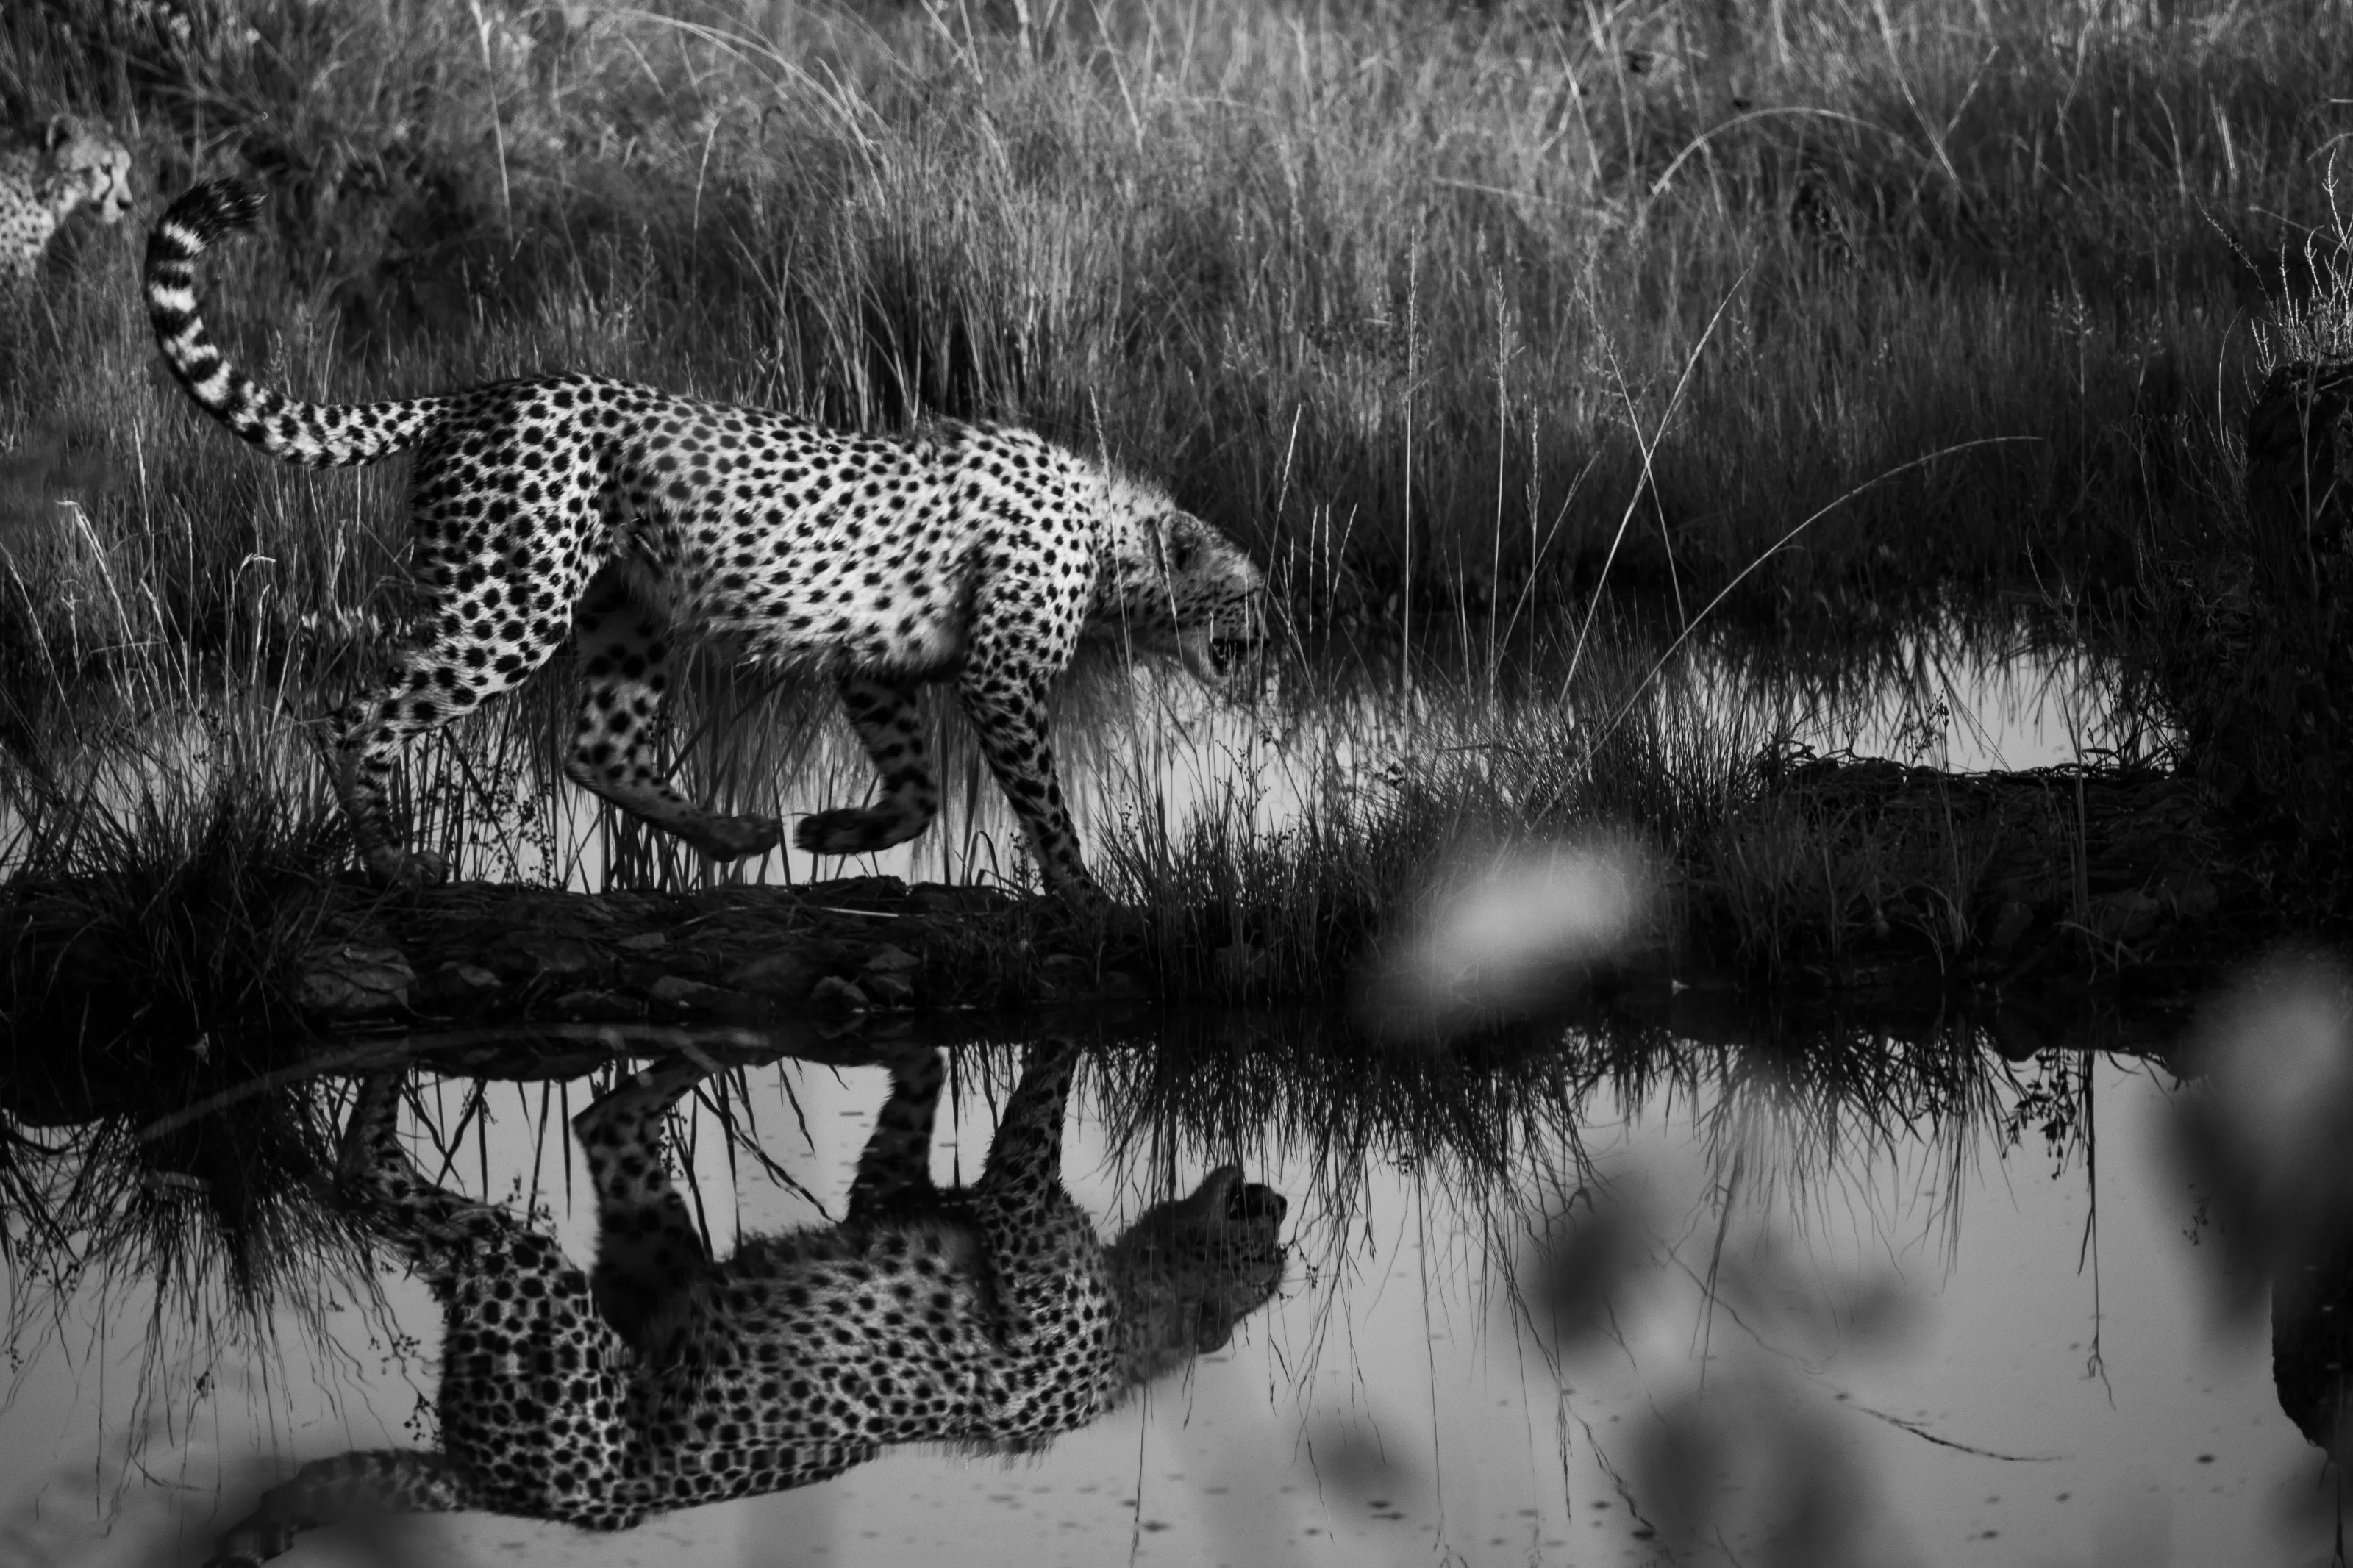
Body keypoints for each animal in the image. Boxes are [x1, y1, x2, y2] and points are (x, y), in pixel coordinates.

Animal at [144, 177, 1269, 910]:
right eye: (1248, 601)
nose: (1267, 653)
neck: (1108, 528)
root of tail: (475, 390)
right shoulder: (998, 676)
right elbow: (1040, 799)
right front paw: (1088, 896)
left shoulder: (876, 662)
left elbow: (918, 787)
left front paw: (839, 833)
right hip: (510, 607)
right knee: (356, 713)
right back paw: (393, 864)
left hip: (625, 610)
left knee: (595, 747)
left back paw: (728, 833)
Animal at [200, 1041, 1288, 1565]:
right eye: (1269, 1261)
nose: (1277, 1201)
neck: (1143, 1320)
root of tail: (500, 1493)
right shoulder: (908, 1200)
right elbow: (933, 1100)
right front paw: (915, 1042)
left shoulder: (1015, 1209)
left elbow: (1043, 1091)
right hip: (643, 1271)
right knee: (603, 1114)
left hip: (537, 1302)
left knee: (373, 1170)